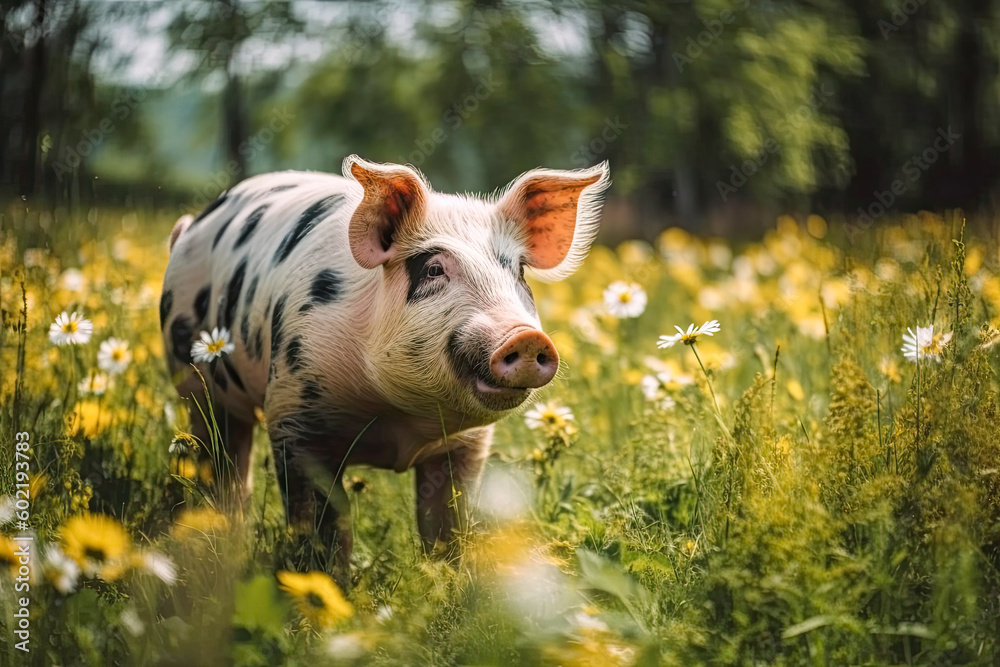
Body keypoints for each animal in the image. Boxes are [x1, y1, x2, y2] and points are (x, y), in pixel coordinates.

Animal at [160, 156, 610, 571]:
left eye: (518, 272)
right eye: (434, 269)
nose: (525, 336)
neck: (402, 422)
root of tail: (193, 226)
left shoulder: (467, 444)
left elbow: (447, 523)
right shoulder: (292, 413)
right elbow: (324, 522)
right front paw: (327, 583)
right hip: (194, 384)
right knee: (221, 457)